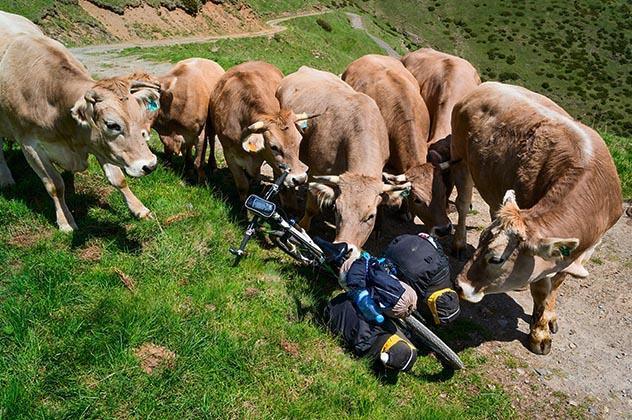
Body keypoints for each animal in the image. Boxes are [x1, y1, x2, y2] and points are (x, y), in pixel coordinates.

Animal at [0, 12, 160, 233]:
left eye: (139, 117)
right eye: (112, 125)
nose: (150, 165)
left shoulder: (97, 143)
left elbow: (118, 179)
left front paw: (139, 209)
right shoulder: (30, 146)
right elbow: (55, 185)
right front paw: (65, 221)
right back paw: (6, 179)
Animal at [278, 66, 410, 256]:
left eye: (371, 216)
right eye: (337, 210)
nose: (346, 249)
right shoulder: (317, 171)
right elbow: (311, 206)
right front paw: (302, 227)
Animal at [450, 81, 624, 354]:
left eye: (496, 259)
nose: (459, 285)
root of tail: (486, 85)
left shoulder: (589, 247)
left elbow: (559, 282)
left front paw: (549, 315)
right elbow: (542, 288)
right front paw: (539, 334)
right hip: (461, 158)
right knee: (462, 204)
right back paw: (457, 243)